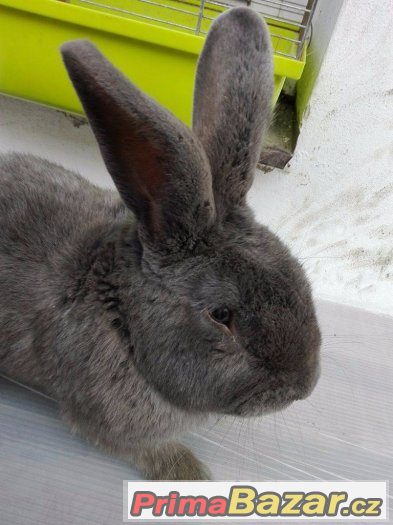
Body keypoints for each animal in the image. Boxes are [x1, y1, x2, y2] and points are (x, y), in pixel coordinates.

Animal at [0, 7, 318, 478]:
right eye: (221, 315)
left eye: (298, 276)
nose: (303, 386)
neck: (122, 315)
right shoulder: (110, 423)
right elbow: (151, 451)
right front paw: (194, 474)